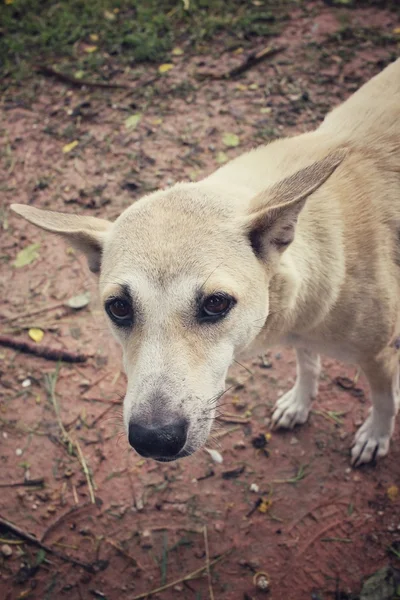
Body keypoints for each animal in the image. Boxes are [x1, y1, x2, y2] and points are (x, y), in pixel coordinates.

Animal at [11, 58, 400, 466]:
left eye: (216, 303)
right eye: (118, 308)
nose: (154, 439)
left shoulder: (380, 354)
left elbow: (384, 400)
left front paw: (375, 435)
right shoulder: (302, 333)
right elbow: (308, 361)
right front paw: (299, 402)